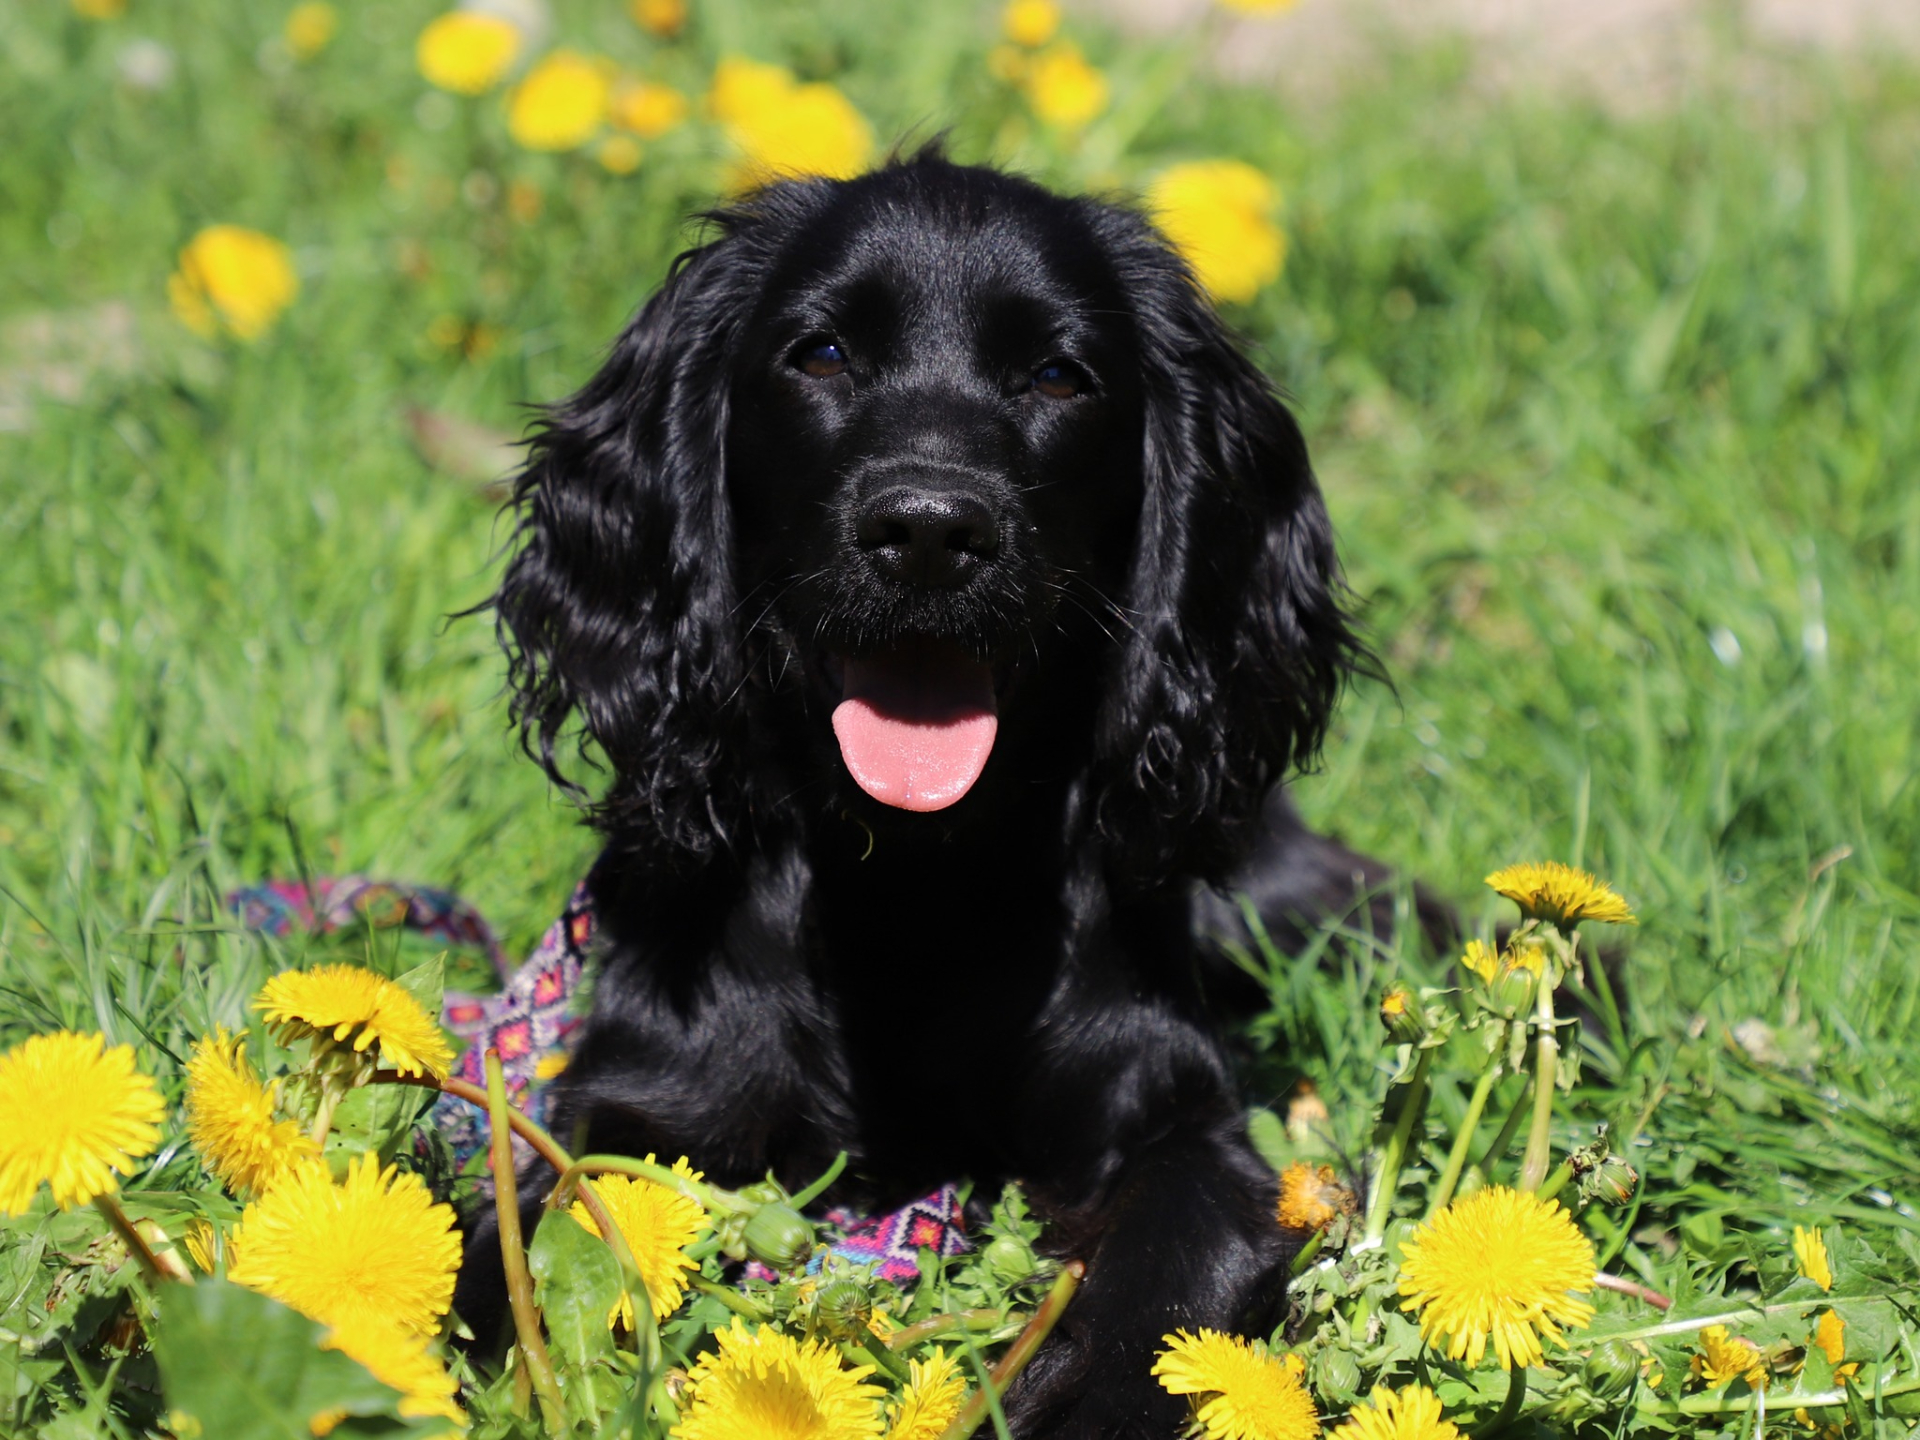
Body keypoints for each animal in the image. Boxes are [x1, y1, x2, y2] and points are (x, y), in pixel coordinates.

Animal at [460, 149, 1428, 1440]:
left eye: (1059, 375)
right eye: (820, 354)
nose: (926, 532)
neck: (913, 884)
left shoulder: (1179, 1123)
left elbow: (1173, 1282)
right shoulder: (637, 1098)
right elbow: (518, 1242)